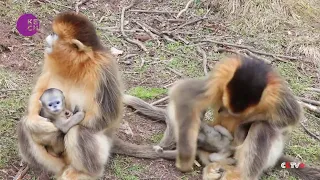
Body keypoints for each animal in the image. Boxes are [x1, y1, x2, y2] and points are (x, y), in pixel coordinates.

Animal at [16, 10, 123, 179]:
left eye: (54, 33)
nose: (48, 35)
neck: (77, 65)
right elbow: (38, 94)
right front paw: (37, 123)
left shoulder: (103, 69)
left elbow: (106, 117)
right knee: (24, 126)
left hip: (102, 149)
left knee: (78, 131)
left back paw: (83, 172)